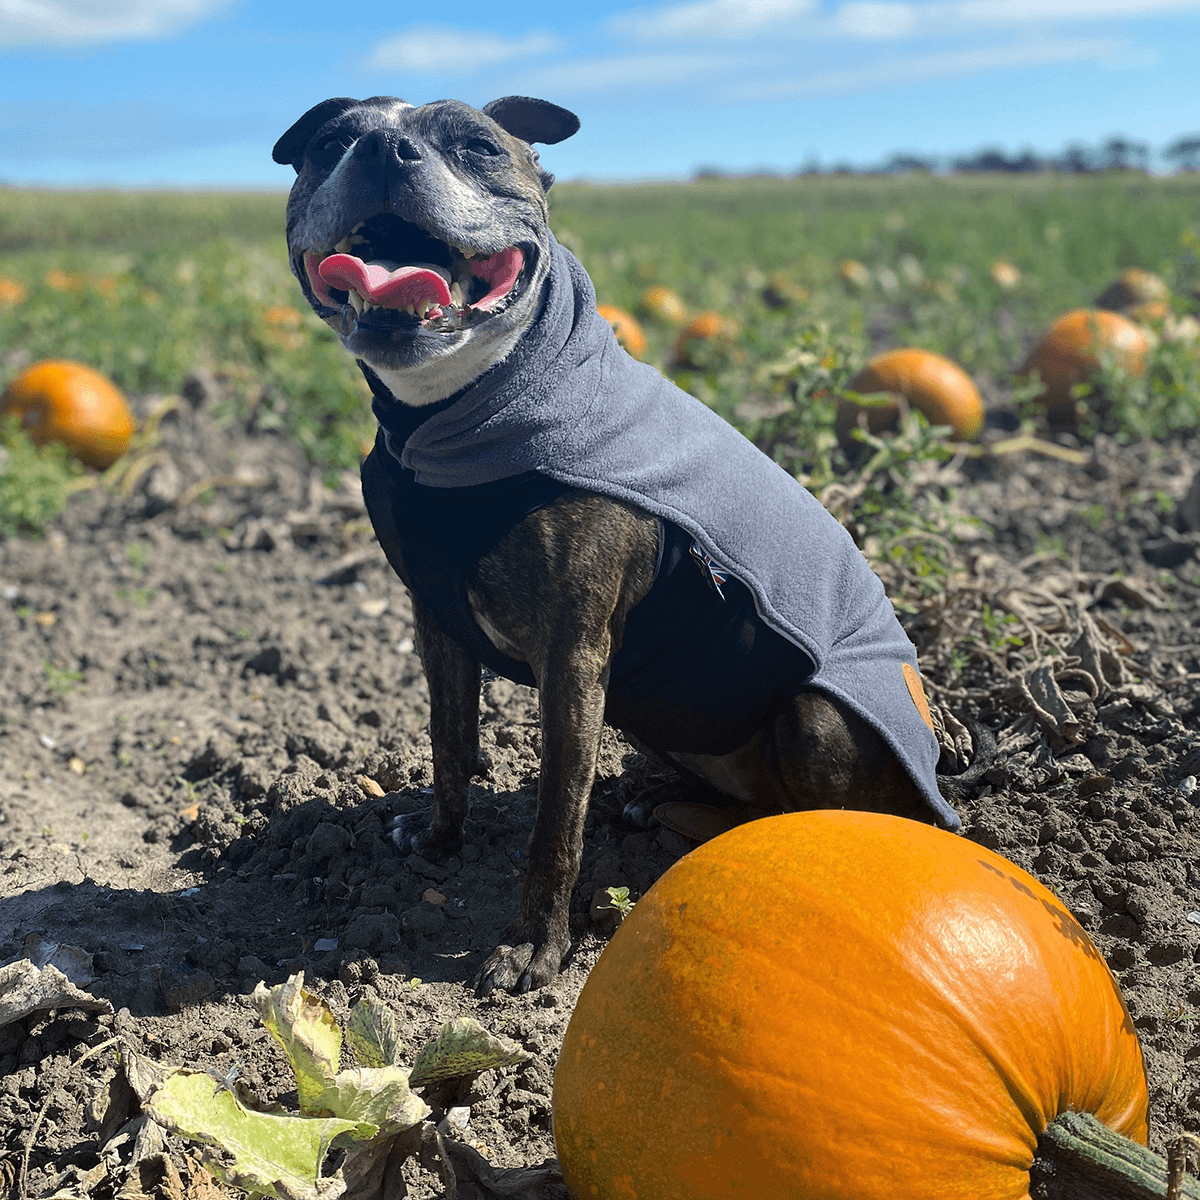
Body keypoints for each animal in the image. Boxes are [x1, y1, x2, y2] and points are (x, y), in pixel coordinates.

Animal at [270, 91, 974, 993]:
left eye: (476, 146)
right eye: (330, 143)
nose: (385, 152)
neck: (456, 416)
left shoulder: (574, 657)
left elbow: (554, 824)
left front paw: (534, 946)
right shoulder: (438, 625)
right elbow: (450, 744)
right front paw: (436, 840)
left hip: (814, 715)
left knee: (812, 809)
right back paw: (666, 805)